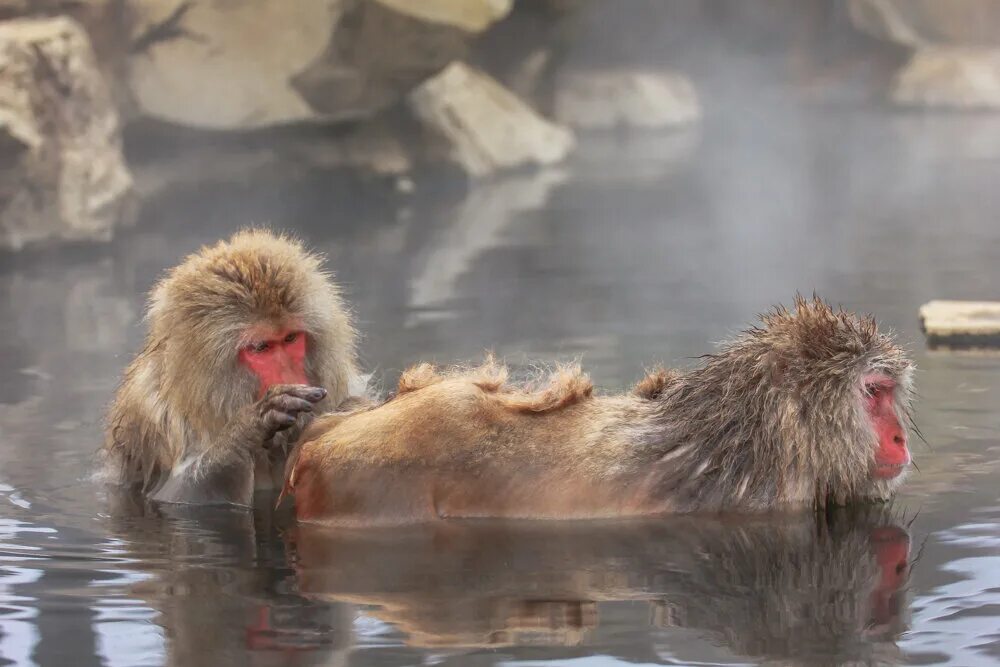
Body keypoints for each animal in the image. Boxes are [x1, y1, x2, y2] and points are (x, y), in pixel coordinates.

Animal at [100, 230, 360, 506]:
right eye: (261, 347)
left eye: (290, 338)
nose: (291, 377)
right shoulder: (153, 418)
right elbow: (172, 496)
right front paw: (249, 427)